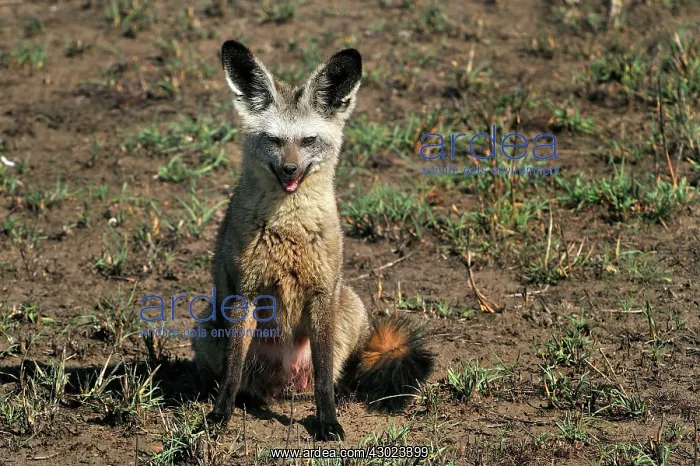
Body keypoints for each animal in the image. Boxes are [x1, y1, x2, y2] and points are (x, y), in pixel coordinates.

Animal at [191, 40, 435, 441]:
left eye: (308, 141)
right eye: (273, 140)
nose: (289, 169)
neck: (289, 231)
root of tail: (285, 385)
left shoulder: (321, 293)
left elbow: (323, 377)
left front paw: (328, 421)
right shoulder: (246, 293)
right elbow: (232, 371)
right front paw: (220, 415)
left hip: (347, 305)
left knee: (337, 373)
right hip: (207, 323)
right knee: (241, 378)